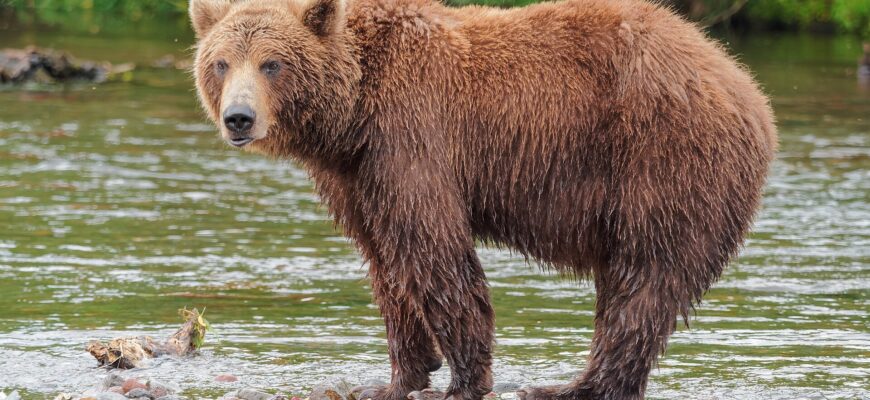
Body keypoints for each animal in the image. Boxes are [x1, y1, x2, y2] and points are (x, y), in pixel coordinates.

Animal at [189, 0, 777, 399]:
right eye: (221, 62)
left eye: (272, 63)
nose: (239, 118)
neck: (351, 114)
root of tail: (746, 86)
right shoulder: (356, 176)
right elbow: (385, 264)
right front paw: (398, 376)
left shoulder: (412, 136)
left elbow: (434, 252)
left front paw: (464, 379)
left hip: (663, 161)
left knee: (644, 279)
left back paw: (573, 385)